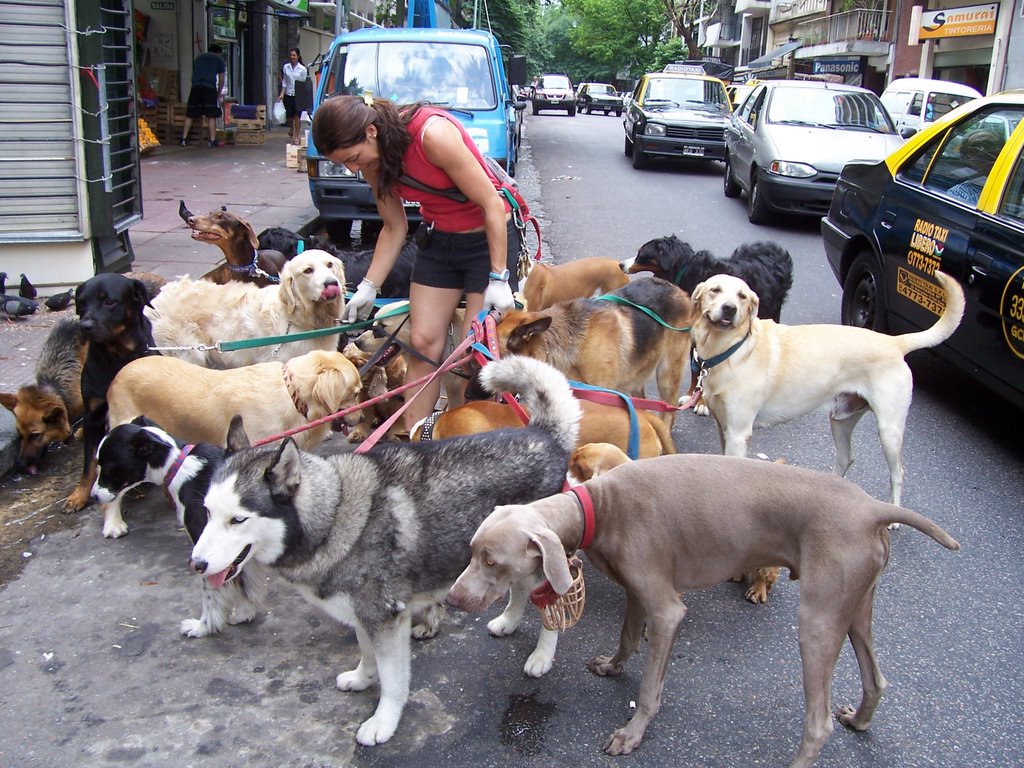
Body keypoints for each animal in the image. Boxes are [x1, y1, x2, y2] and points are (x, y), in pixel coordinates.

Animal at [448, 454, 958, 768]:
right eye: (471, 552)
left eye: (490, 560)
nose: (452, 599)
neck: (599, 506)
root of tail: (873, 508)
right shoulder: (639, 593)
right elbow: (627, 637)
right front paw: (612, 667)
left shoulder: (667, 610)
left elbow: (650, 689)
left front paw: (632, 734)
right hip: (854, 607)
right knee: (876, 679)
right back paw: (860, 719)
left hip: (818, 619)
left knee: (818, 723)